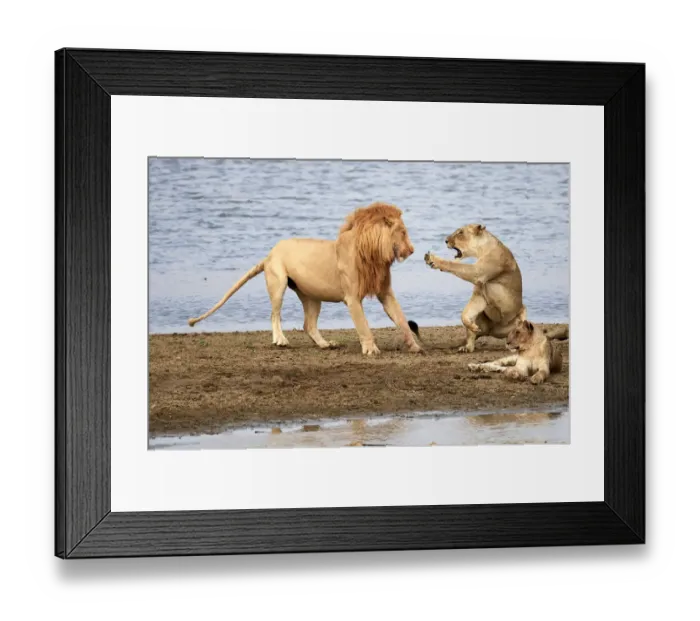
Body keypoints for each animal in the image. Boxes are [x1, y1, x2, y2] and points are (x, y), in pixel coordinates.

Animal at [187, 202, 423, 356]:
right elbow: (363, 325)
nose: (412, 250)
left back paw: (325, 344)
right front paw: (371, 349)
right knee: (274, 314)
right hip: (278, 282)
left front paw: (414, 346)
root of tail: (269, 254)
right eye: (403, 232)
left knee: (308, 324)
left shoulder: (386, 293)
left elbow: (402, 319)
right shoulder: (352, 298)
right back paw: (280, 340)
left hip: (312, 296)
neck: (373, 256)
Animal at [424, 223, 526, 353]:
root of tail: (491, 331)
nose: (446, 240)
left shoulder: (479, 272)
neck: (481, 250)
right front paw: (472, 326)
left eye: (460, 232)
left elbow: (455, 265)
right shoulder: (480, 293)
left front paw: (433, 259)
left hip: (522, 315)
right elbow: (464, 314)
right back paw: (466, 347)